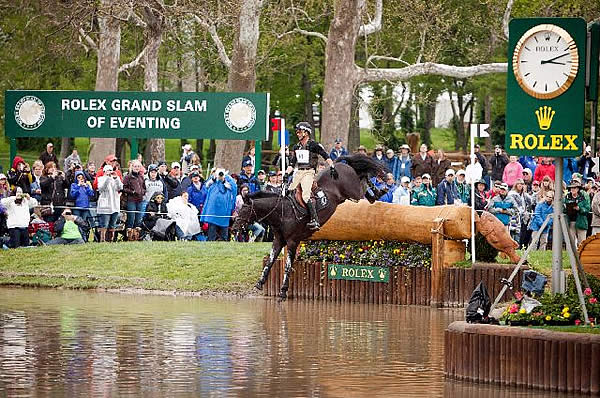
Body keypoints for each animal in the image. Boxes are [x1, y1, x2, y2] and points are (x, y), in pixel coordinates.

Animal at [232, 154, 386, 300]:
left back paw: (380, 191)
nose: (234, 228)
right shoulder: (278, 240)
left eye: (244, 210)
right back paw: (376, 193)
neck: (282, 211)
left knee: (363, 181)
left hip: (353, 192)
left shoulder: (292, 241)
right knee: (364, 181)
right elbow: (269, 261)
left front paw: (283, 291)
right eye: (240, 209)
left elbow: (288, 266)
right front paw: (260, 282)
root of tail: (339, 165)